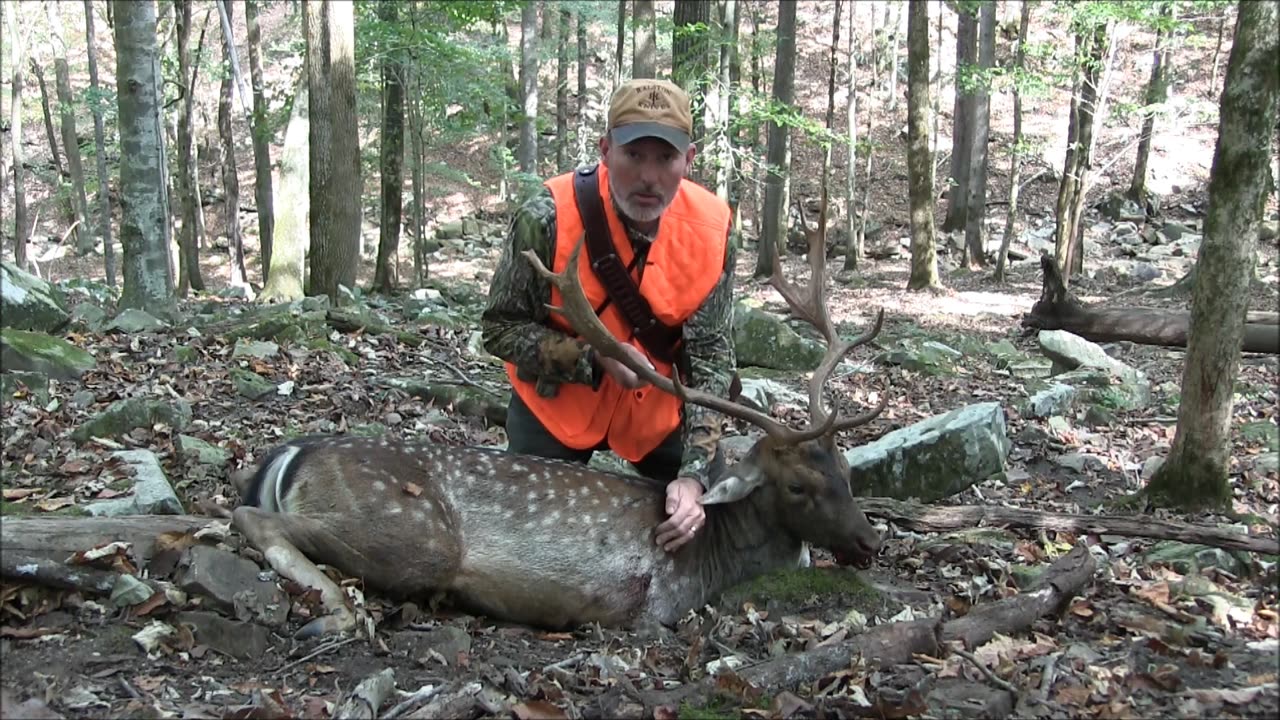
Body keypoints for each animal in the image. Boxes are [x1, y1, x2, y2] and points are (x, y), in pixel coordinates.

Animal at [232, 222, 890, 632]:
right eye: (797, 485)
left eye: (847, 469)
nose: (869, 543)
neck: (714, 559)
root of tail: (292, 453)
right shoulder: (649, 606)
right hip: (407, 531)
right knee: (252, 518)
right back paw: (339, 612)